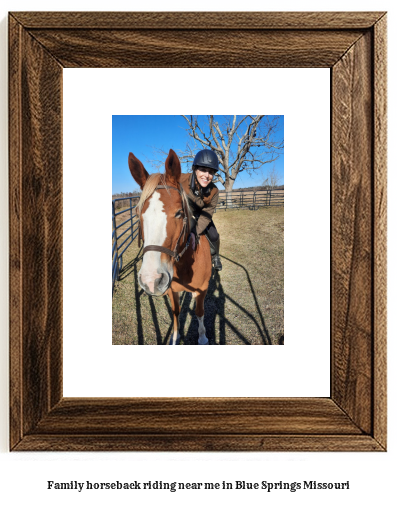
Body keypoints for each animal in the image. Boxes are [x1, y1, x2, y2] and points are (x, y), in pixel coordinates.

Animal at [128, 147, 212, 346]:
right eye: (138, 213)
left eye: (180, 213)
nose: (151, 280)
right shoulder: (171, 291)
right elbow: (176, 312)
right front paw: (175, 337)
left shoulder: (203, 289)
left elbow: (199, 312)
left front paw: (203, 337)